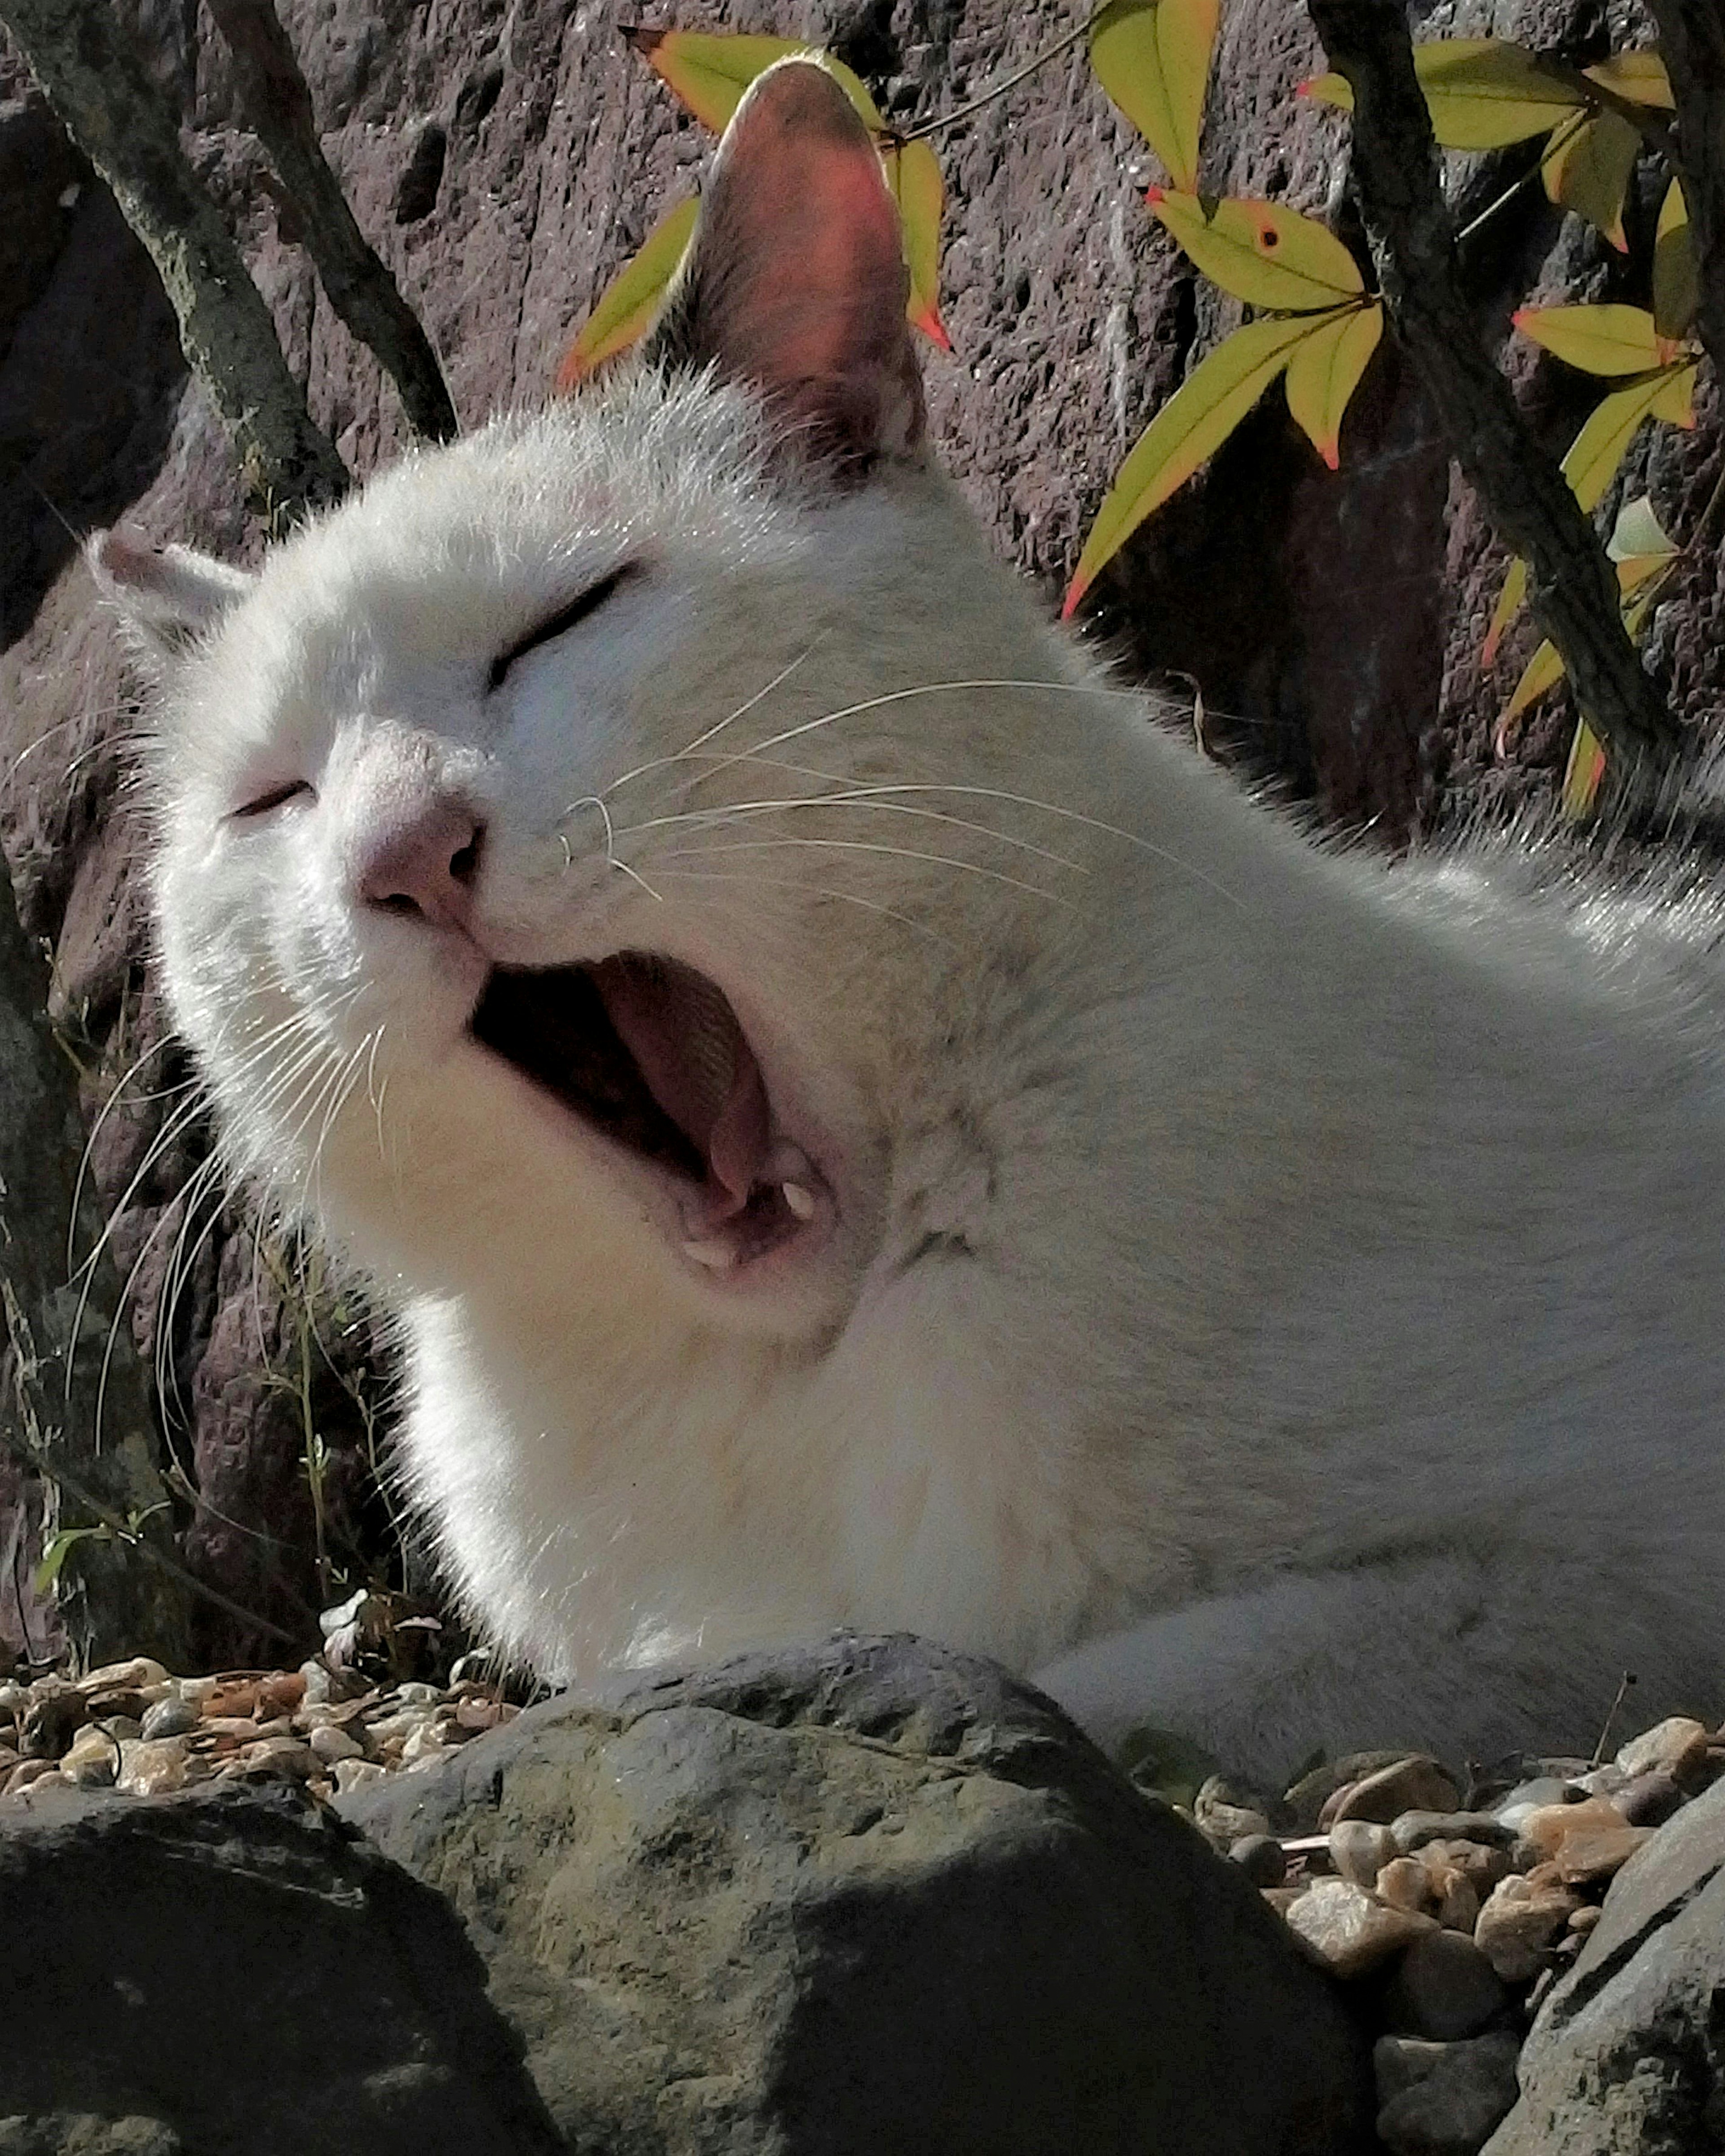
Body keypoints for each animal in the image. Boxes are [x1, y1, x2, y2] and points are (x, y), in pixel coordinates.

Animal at [94, 59, 1725, 1776]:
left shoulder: (1598, 1566)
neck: (787, 1371)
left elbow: (1084, 1683)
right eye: (273, 798)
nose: (405, 850)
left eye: (566, 621)